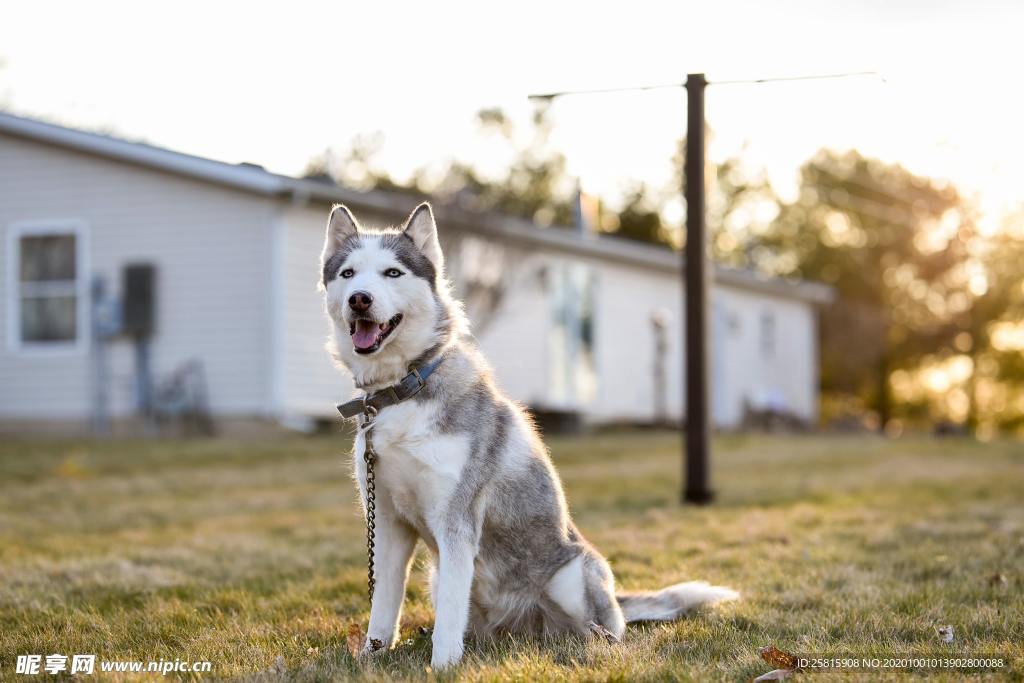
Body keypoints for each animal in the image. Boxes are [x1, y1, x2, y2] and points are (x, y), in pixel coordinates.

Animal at [319, 201, 737, 667]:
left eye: (392, 272)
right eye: (348, 274)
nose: (360, 299)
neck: (401, 390)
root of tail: (522, 629)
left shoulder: (456, 522)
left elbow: (447, 615)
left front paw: (443, 666)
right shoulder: (389, 522)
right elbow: (384, 604)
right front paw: (371, 656)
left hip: (573, 577)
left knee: (602, 631)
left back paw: (586, 642)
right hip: (439, 575)